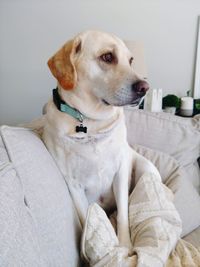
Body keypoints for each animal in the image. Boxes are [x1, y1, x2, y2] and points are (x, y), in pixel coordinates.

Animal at [42, 29, 161, 251]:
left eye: (130, 60)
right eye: (107, 57)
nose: (145, 87)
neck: (91, 123)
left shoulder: (120, 171)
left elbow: (123, 215)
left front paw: (124, 246)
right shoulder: (74, 186)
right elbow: (84, 219)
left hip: (145, 168)